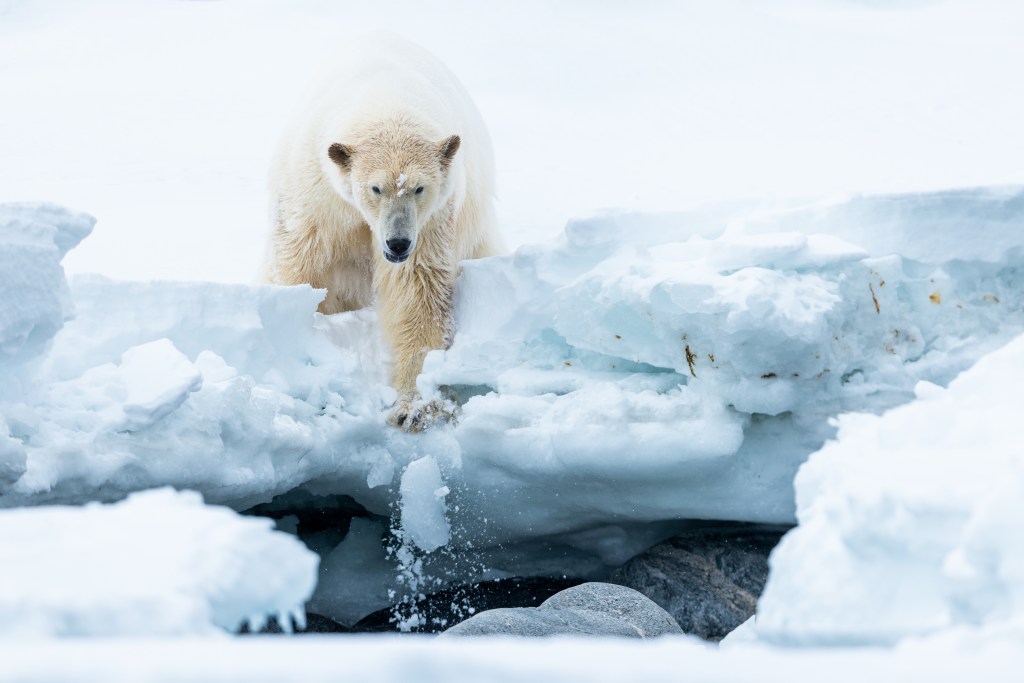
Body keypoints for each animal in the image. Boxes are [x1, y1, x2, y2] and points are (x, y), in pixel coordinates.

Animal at [263, 34, 501, 431]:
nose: (397, 243)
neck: (385, 97)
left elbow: (417, 292)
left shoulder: (433, 219)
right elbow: (299, 263)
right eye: (375, 188)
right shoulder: (317, 195)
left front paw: (416, 407)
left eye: (419, 188)